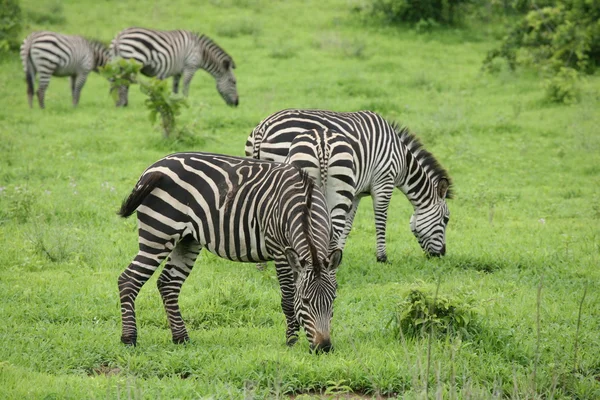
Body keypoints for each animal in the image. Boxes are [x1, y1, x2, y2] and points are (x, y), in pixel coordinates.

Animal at [110, 27, 239, 107]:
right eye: (233, 82)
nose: (237, 103)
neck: (202, 52)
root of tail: (120, 36)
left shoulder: (178, 71)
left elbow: (175, 86)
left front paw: (174, 101)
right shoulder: (190, 66)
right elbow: (186, 85)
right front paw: (186, 101)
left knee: (115, 81)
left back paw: (117, 102)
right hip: (133, 60)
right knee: (124, 82)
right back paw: (123, 103)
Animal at [118, 152, 342, 352]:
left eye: (333, 299)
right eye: (305, 301)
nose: (324, 348)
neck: (305, 205)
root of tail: (153, 167)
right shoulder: (280, 252)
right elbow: (287, 299)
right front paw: (291, 342)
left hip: (187, 240)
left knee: (168, 284)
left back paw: (181, 339)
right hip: (159, 232)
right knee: (128, 280)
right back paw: (129, 339)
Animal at [246, 108, 452, 262]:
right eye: (446, 219)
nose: (441, 255)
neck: (402, 160)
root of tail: (263, 127)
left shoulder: (356, 192)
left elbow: (348, 223)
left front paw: (338, 253)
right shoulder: (383, 181)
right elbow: (381, 219)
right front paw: (382, 257)